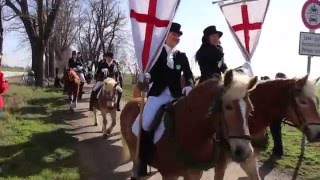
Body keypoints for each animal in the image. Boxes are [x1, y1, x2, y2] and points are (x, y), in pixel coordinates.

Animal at [120, 70, 258, 179]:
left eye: (251, 109)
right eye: (228, 107)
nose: (246, 152)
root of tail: (131, 102)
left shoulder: (194, 174)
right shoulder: (170, 175)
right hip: (134, 150)